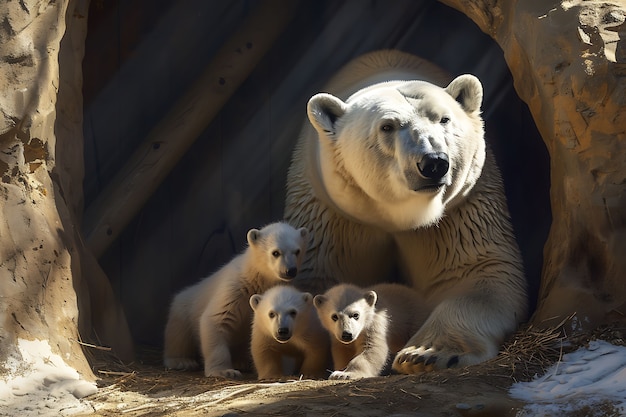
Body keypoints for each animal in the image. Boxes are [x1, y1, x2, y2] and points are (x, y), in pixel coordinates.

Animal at [161, 223, 308, 378]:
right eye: (276, 252)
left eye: (297, 251)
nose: (290, 270)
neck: (255, 278)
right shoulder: (234, 289)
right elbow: (216, 319)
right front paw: (225, 371)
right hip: (184, 307)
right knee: (178, 333)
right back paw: (182, 361)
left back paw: (241, 361)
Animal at [284, 50, 528, 372]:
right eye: (387, 126)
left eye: (444, 118)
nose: (433, 163)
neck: (398, 217)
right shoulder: (334, 215)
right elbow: (323, 277)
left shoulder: (460, 208)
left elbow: (477, 273)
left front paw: (426, 353)